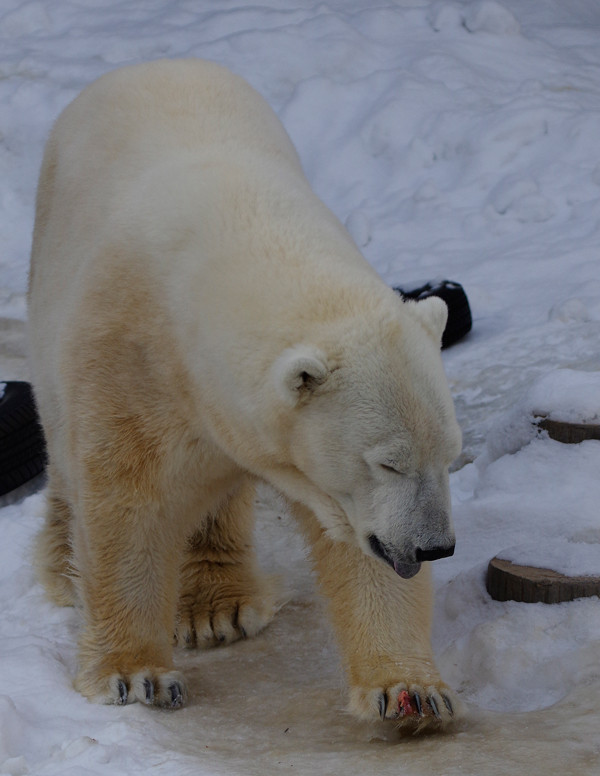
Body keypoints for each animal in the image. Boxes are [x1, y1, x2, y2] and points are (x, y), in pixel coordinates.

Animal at [28, 59, 462, 728]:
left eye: (450, 454)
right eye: (388, 461)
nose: (434, 546)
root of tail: (151, 62)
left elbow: (360, 542)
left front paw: (410, 691)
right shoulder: (127, 357)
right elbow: (127, 504)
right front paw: (134, 676)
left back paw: (216, 608)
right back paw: (64, 571)